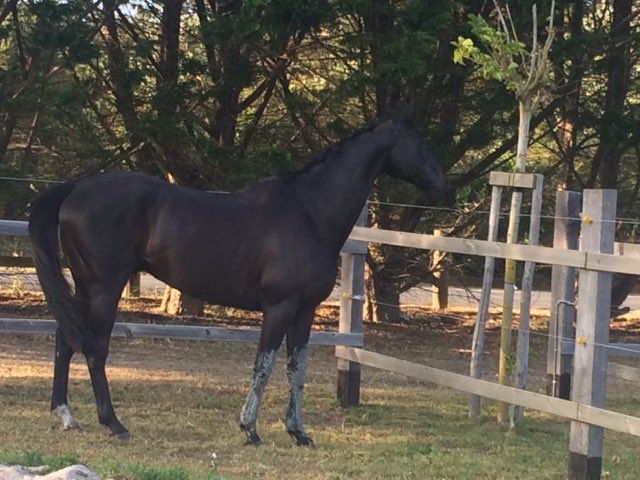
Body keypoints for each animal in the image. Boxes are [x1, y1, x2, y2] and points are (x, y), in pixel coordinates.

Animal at [28, 114, 448, 447]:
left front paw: (298, 432)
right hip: (105, 289)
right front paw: (250, 429)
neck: (309, 212)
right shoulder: (279, 308)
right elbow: (264, 364)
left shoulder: (304, 312)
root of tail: (76, 187)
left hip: (84, 288)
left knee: (65, 341)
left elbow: (297, 367)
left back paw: (66, 416)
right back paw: (114, 424)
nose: (444, 184)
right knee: (95, 349)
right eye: (418, 143)